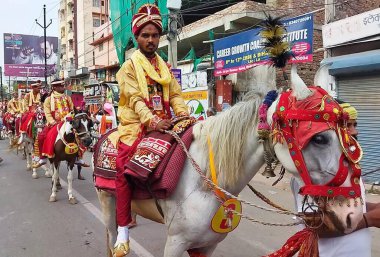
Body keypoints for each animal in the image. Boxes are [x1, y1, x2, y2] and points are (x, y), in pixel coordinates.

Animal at [94, 65, 362, 254]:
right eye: (319, 138)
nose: (352, 213)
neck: (203, 181)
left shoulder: (207, 244)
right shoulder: (175, 243)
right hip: (107, 200)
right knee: (112, 234)